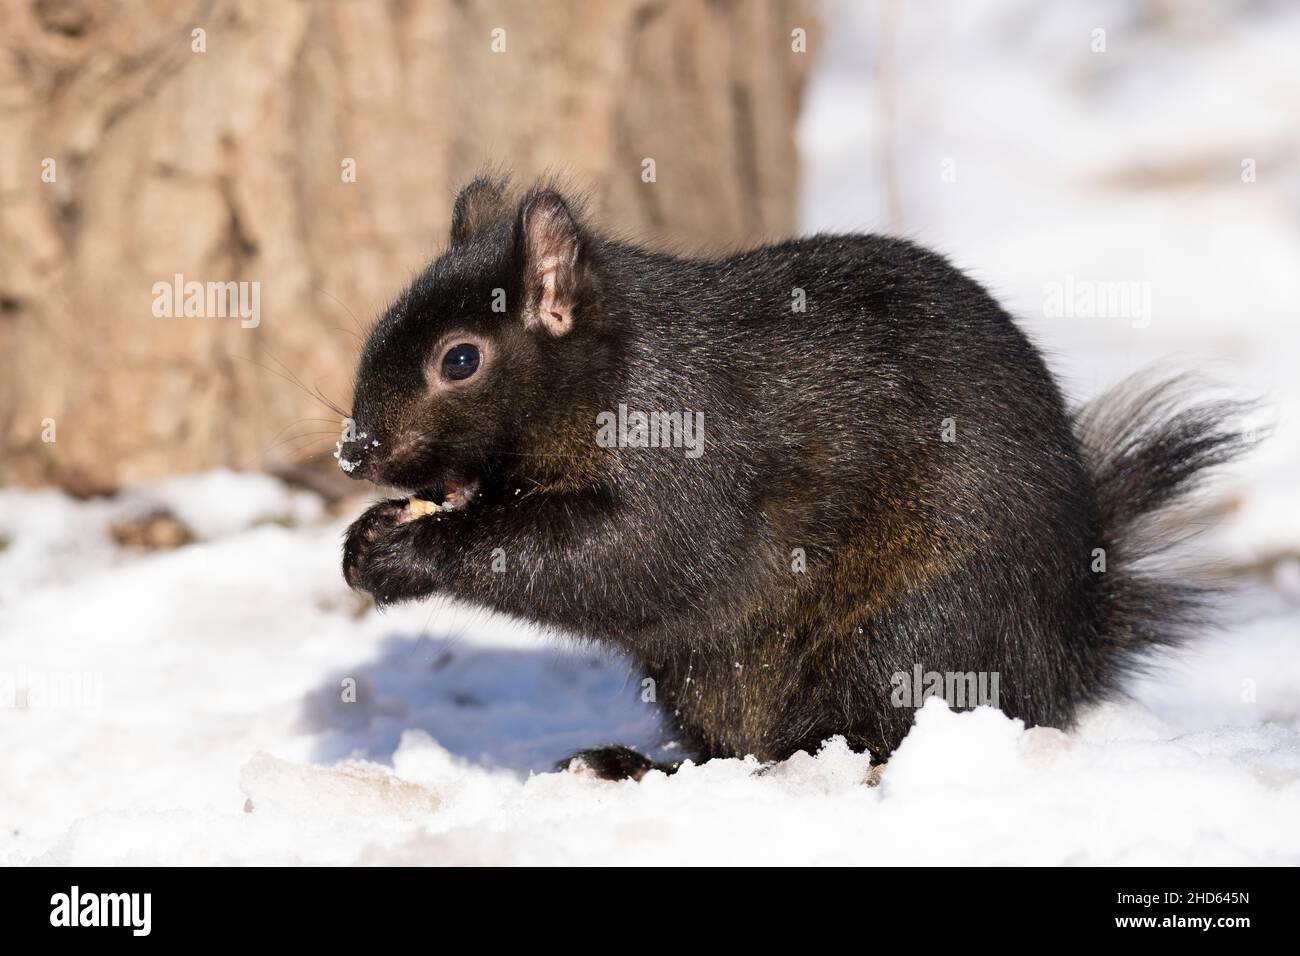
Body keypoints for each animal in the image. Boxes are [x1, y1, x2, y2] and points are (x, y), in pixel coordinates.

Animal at [338, 175, 1248, 780]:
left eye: (460, 359)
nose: (356, 454)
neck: (616, 370)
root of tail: (1067, 653)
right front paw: (369, 537)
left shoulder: (690, 451)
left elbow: (630, 555)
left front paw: (408, 554)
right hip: (696, 679)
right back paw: (639, 765)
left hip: (910, 631)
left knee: (874, 722)